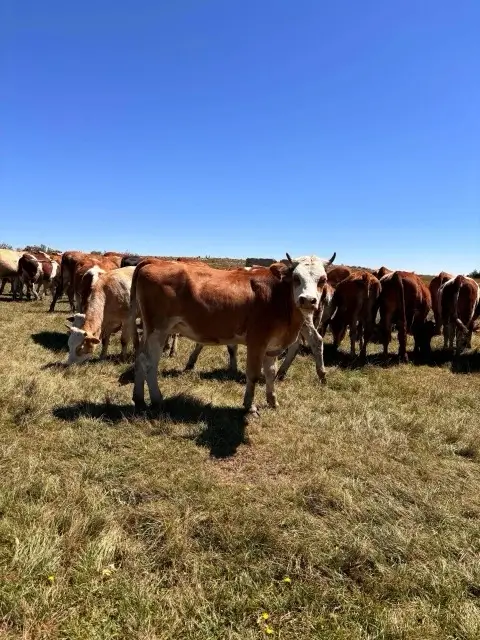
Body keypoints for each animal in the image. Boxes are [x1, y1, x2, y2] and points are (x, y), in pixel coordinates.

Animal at [129, 252, 336, 418]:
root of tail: (154, 261)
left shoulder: (272, 346)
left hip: (150, 331)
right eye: (296, 277)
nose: (307, 300)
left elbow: (270, 373)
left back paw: (139, 398)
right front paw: (249, 406)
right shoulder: (257, 342)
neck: (277, 296)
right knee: (149, 362)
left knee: (140, 357)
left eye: (322, 279)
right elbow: (253, 374)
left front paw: (272, 401)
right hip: (158, 330)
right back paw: (157, 399)